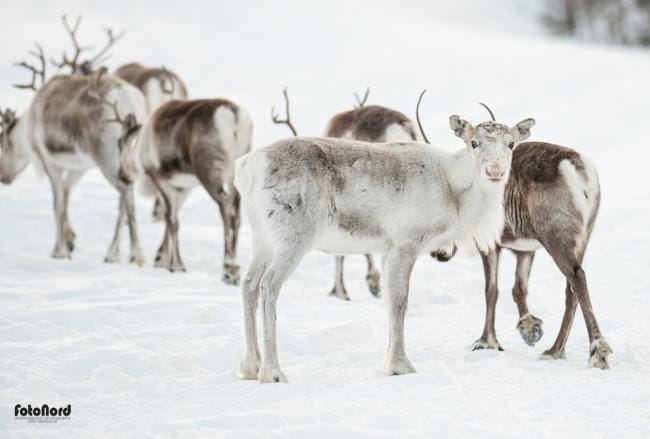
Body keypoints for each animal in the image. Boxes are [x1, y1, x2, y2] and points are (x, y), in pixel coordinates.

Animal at [137, 97, 252, 284]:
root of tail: (232, 113)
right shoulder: (183, 188)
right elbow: (170, 218)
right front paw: (161, 258)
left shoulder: (162, 181)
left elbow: (173, 220)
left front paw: (176, 265)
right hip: (236, 172)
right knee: (236, 213)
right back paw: (235, 268)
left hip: (210, 172)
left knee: (225, 206)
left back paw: (229, 268)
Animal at [434, 104, 610, 369]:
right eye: (474, 142)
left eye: (510, 143)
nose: (439, 253)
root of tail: (576, 169)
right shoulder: (525, 248)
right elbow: (519, 288)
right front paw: (530, 329)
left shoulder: (491, 243)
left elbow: (492, 290)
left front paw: (487, 341)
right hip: (583, 236)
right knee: (571, 288)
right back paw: (555, 350)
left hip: (556, 237)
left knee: (577, 278)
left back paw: (597, 351)